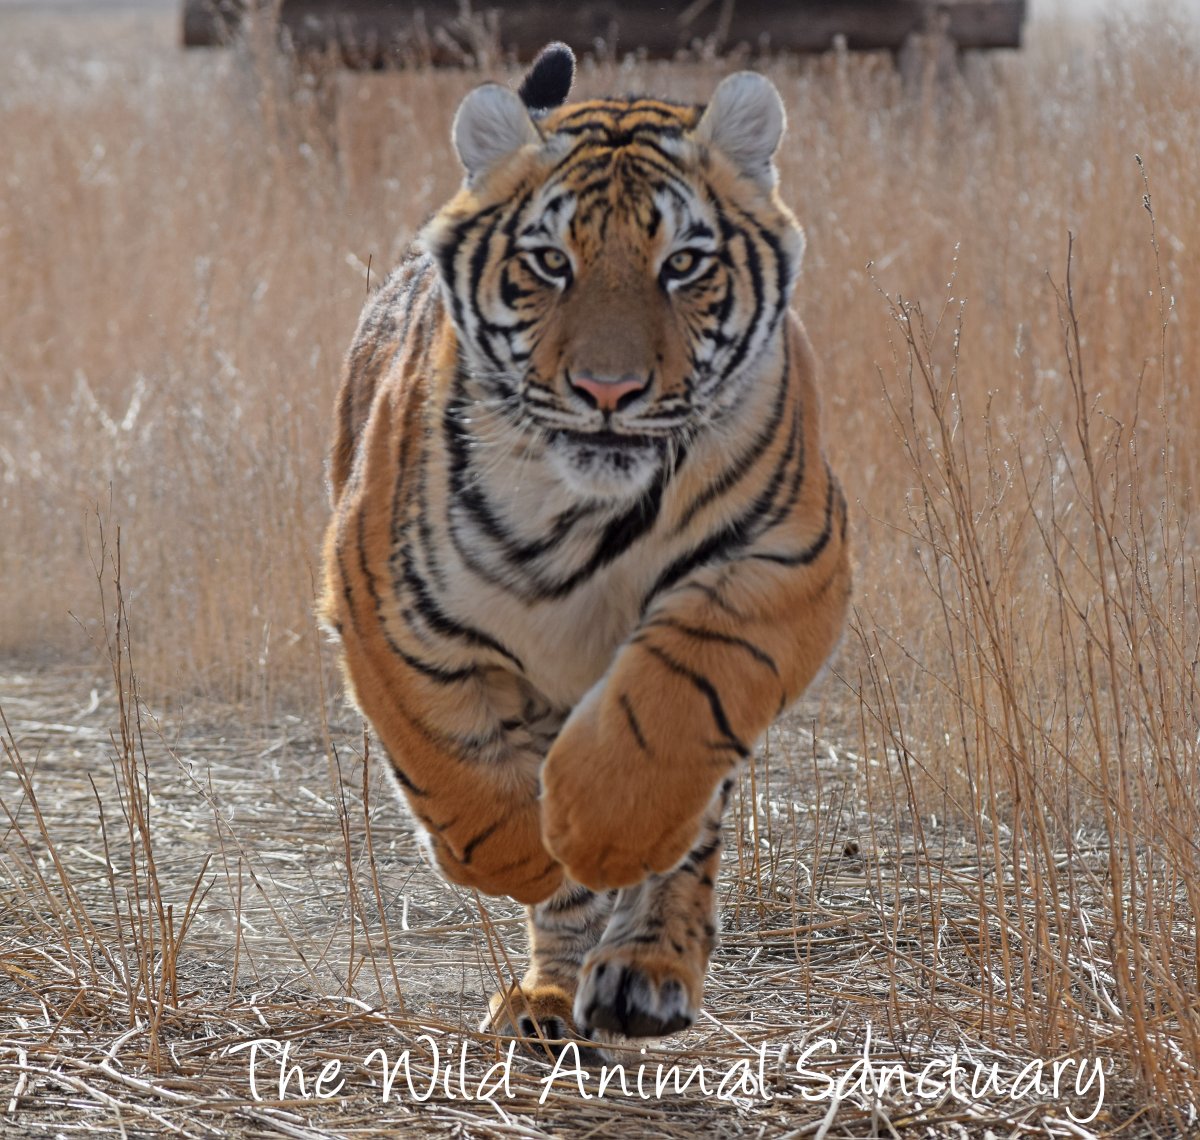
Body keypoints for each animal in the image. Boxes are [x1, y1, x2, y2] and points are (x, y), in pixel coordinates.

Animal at [320, 42, 850, 1047]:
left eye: (684, 264)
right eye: (549, 263)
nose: (609, 391)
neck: (590, 508)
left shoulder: (782, 560)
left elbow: (674, 707)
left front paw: (603, 830)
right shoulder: (383, 598)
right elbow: (448, 756)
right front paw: (530, 855)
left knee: (690, 834)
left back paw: (643, 973)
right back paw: (545, 996)